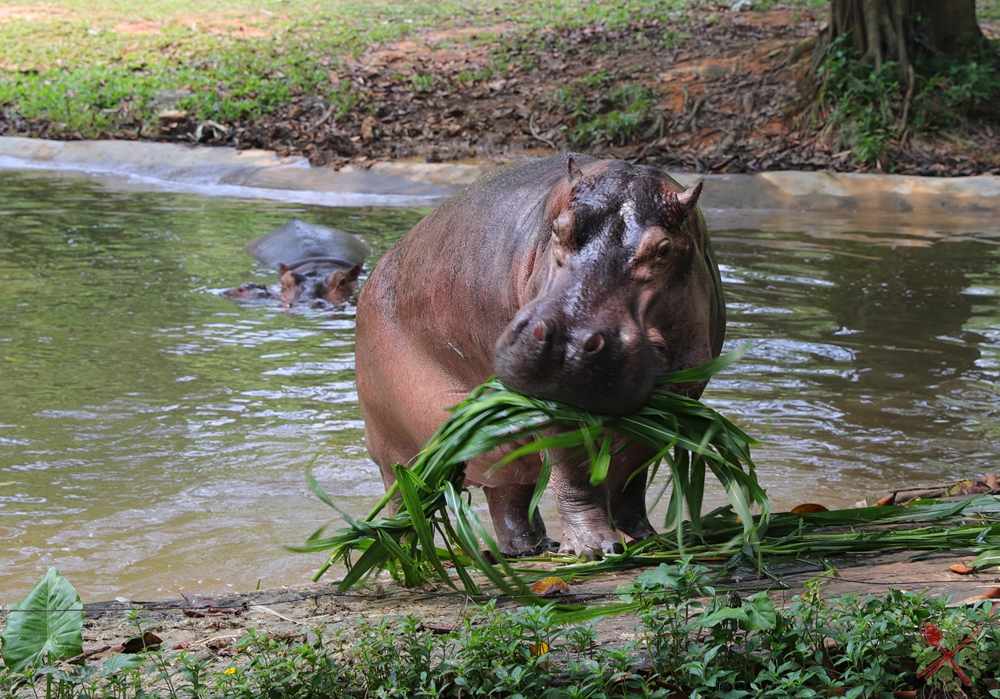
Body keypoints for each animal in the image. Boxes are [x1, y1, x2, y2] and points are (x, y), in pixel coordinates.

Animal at [356, 156, 724, 560]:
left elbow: (631, 473)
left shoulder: (679, 396)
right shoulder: (549, 406)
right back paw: (406, 555)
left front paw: (642, 539)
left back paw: (528, 548)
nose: (568, 343)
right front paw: (594, 548)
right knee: (404, 498)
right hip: (394, 449)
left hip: (500, 439)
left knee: (508, 489)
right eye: (558, 231)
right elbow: (575, 471)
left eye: (664, 249)